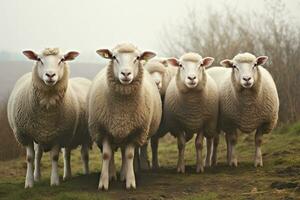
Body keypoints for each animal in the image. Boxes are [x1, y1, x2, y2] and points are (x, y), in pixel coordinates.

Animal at [7, 48, 90, 188]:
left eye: (62, 59)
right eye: (39, 59)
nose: (50, 75)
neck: (46, 115)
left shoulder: (59, 134)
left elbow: (55, 157)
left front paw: (55, 181)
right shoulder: (26, 135)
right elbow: (30, 158)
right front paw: (29, 182)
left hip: (82, 136)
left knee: (81, 154)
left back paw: (82, 173)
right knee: (41, 155)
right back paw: (40, 177)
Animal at [86, 43, 162, 190]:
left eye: (137, 58)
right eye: (114, 57)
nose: (126, 74)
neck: (122, 111)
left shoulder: (135, 132)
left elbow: (129, 155)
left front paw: (130, 182)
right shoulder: (103, 131)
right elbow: (106, 155)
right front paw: (103, 183)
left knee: (124, 152)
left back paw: (123, 174)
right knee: (112, 153)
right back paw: (112, 174)